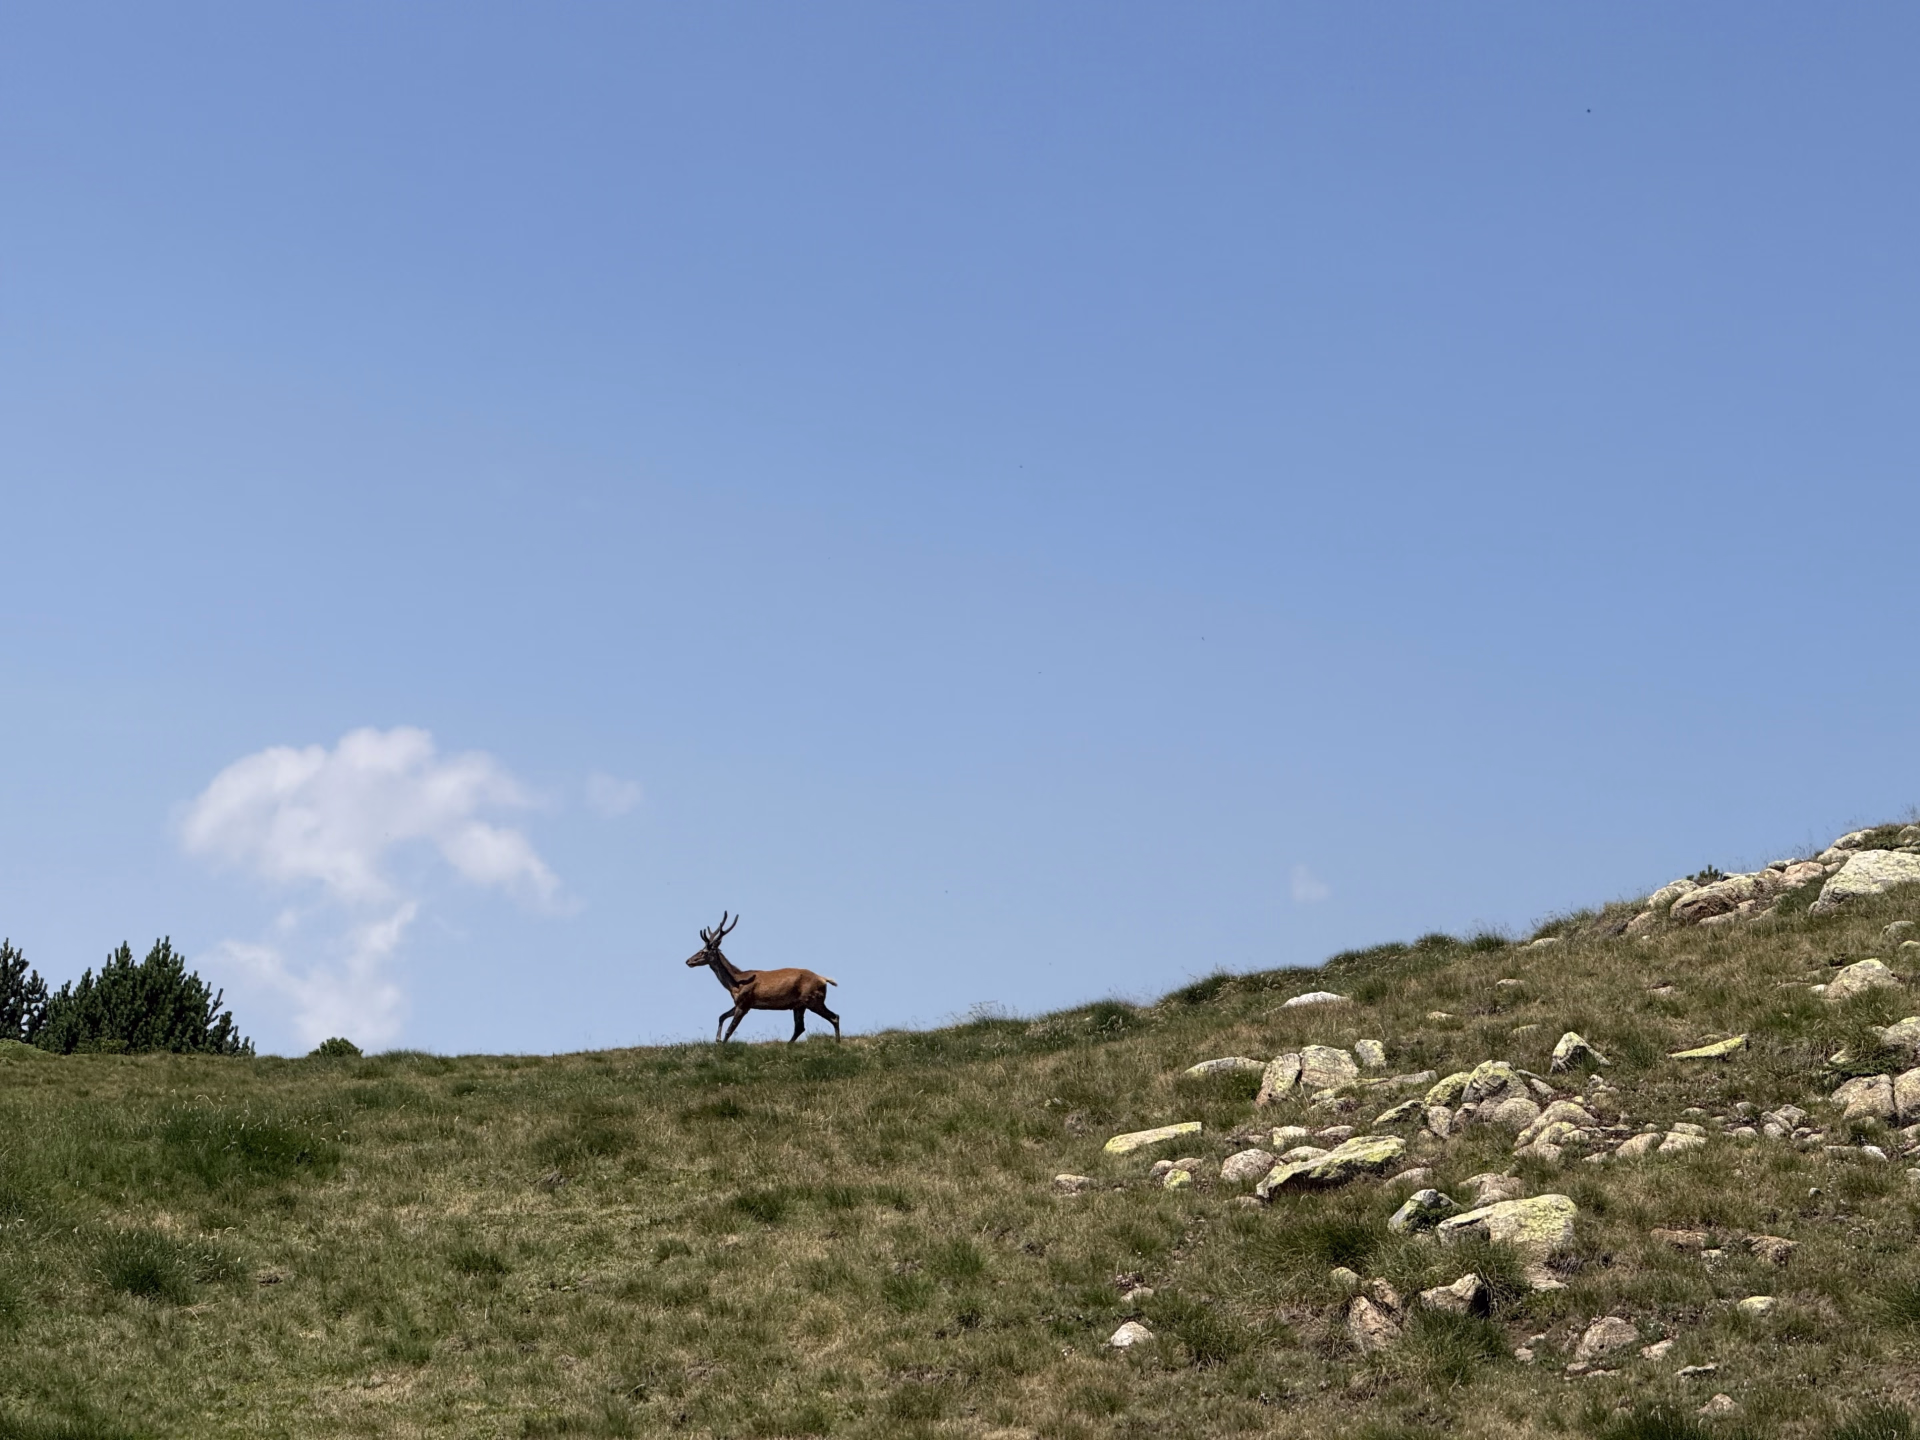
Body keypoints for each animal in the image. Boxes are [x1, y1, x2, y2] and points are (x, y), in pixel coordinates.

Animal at [684, 912, 841, 1044]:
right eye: (699, 949)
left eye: (704, 952)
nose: (688, 961)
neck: (735, 983)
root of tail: (824, 979)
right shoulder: (740, 1003)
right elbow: (721, 1016)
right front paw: (717, 1040)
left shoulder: (745, 1002)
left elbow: (730, 1029)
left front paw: (722, 1044)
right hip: (800, 1004)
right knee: (800, 1027)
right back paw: (788, 1046)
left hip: (813, 999)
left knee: (834, 1017)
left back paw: (837, 1042)